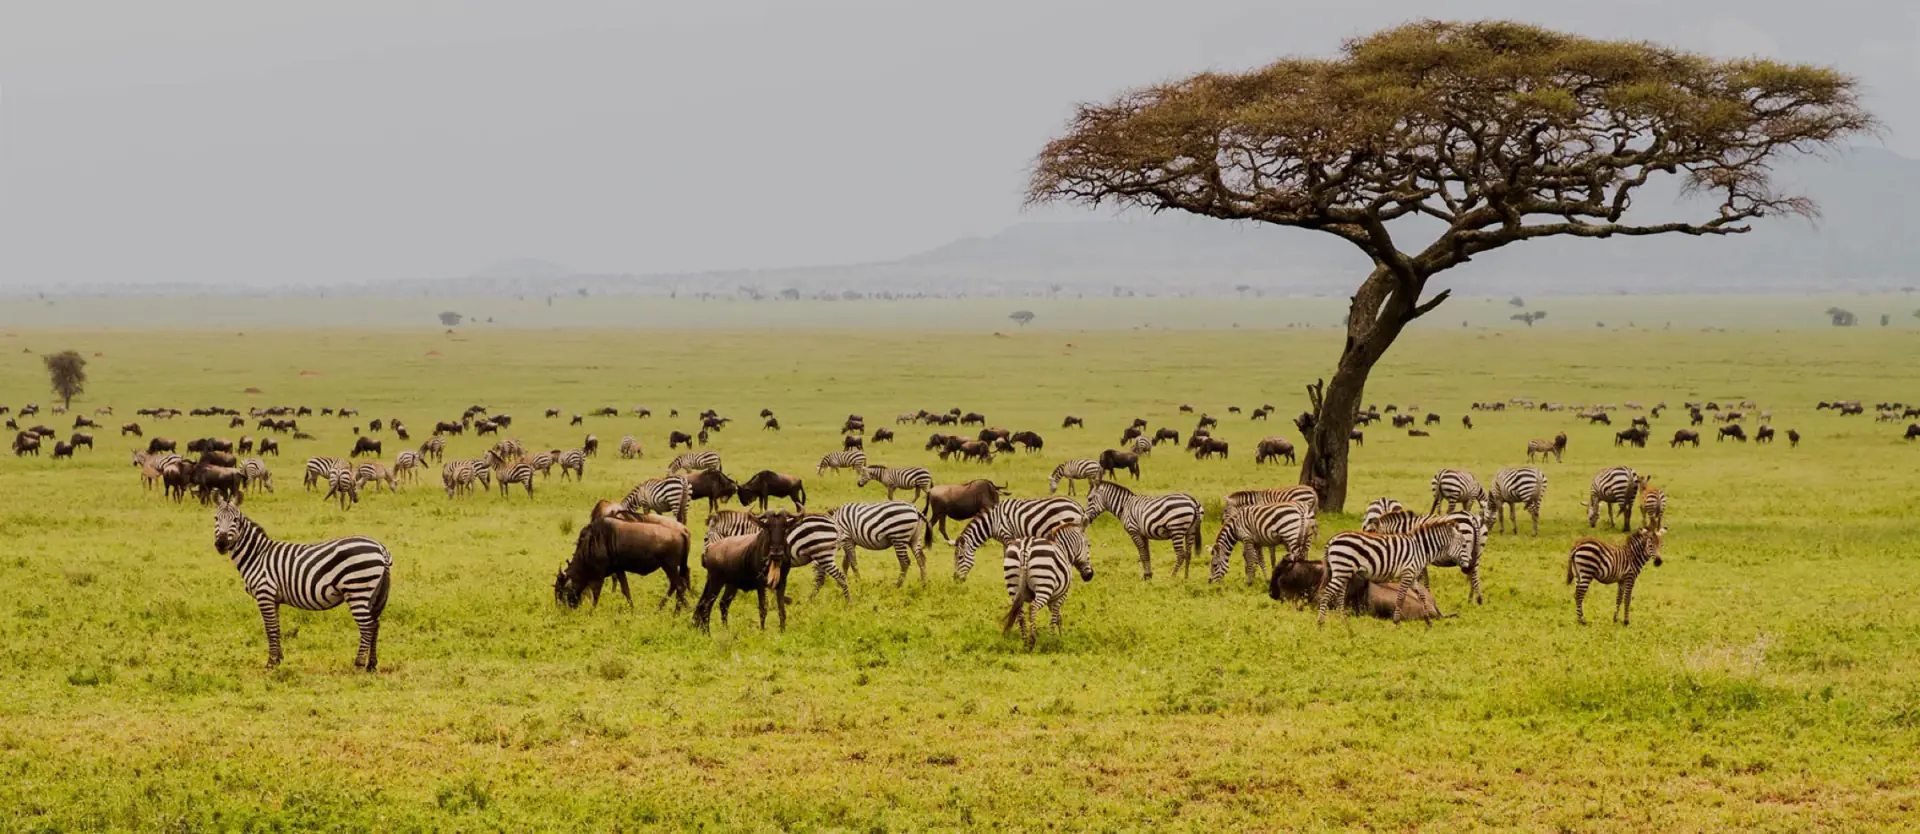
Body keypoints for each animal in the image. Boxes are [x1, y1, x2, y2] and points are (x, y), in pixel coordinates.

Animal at [212, 500, 392, 670]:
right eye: (215, 518)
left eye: (235, 520)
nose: (220, 544)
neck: (258, 555)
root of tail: (380, 548)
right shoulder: (274, 599)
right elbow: (276, 628)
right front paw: (278, 660)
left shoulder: (265, 593)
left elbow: (270, 629)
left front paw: (270, 664)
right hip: (372, 593)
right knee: (375, 624)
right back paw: (371, 665)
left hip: (357, 589)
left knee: (367, 626)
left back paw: (359, 664)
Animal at [707, 510, 848, 600]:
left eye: (706, 537)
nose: (705, 559)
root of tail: (834, 523)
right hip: (821, 556)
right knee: (821, 579)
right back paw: (810, 600)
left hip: (823, 554)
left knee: (840, 577)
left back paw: (848, 604)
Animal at [1317, 520, 1465, 626]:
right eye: (1464, 545)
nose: (1467, 565)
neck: (1420, 549)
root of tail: (1333, 539)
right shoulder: (1407, 574)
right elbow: (1400, 597)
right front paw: (1397, 621)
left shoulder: (1413, 576)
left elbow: (1422, 596)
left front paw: (1428, 620)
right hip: (1341, 569)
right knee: (1327, 593)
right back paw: (1320, 623)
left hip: (1344, 571)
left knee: (1339, 596)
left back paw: (1343, 621)